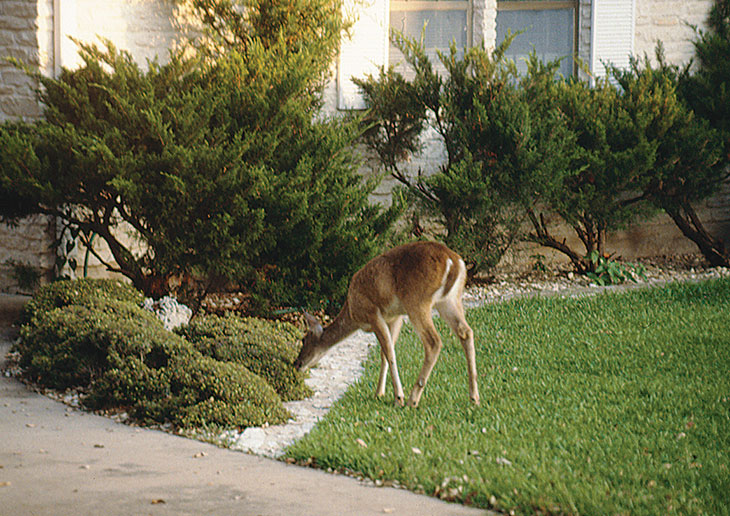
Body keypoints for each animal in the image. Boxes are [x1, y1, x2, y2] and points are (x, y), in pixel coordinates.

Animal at [292, 241, 478, 408]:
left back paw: (412, 400)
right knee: (466, 331)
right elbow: (385, 352)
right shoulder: (394, 317)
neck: (353, 313)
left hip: (417, 301)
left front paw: (398, 398)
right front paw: (379, 393)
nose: (297, 364)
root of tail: (454, 263)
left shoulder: (373, 314)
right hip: (450, 300)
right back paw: (474, 398)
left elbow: (389, 352)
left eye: (304, 340)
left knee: (434, 342)